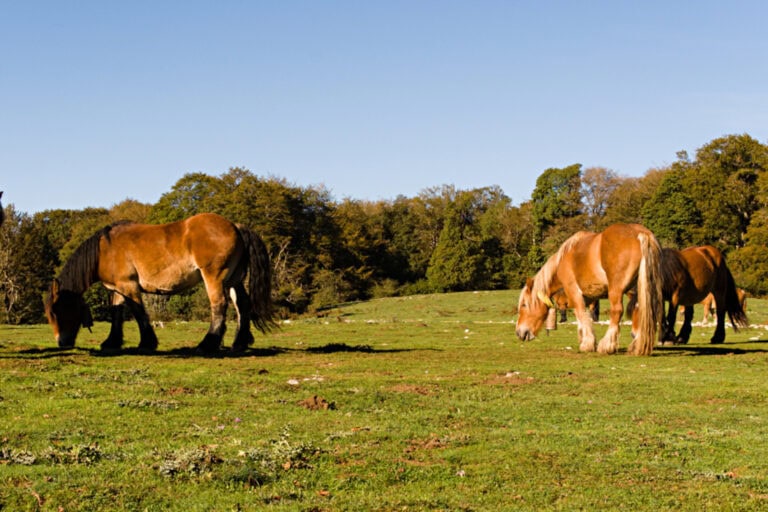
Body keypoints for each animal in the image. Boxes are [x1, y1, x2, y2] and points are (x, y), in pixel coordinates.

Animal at [45, 213, 275, 354]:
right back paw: (239, 343)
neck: (105, 250)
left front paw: (147, 342)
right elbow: (116, 313)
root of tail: (236, 226)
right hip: (234, 280)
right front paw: (112, 342)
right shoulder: (118, 288)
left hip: (215, 277)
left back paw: (207, 344)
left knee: (219, 305)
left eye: (56, 311)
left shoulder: (129, 286)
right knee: (242, 306)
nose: (61, 342)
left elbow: (139, 313)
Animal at [516, 223, 663, 356]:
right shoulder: (587, 297)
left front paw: (587, 344)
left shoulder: (573, 291)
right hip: (637, 291)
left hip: (616, 291)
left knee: (617, 311)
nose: (519, 332)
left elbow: (581, 313)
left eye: (524, 305)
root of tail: (641, 233)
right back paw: (637, 345)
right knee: (640, 310)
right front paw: (585, 339)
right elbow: (583, 316)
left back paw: (607, 346)